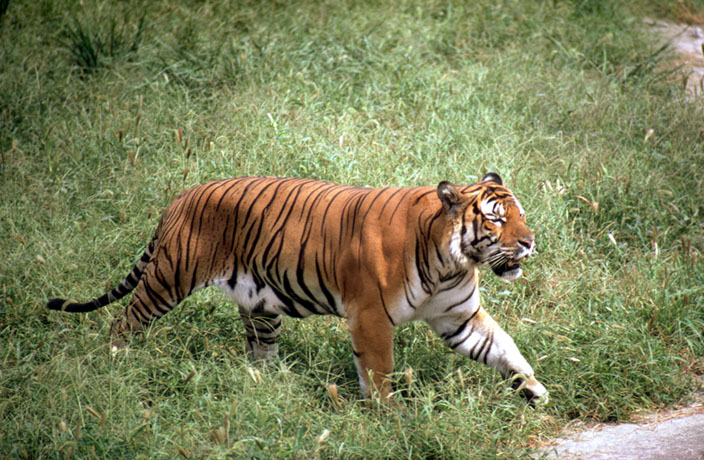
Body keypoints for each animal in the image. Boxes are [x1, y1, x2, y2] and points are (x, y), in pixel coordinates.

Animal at [46, 172, 548, 402]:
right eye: (496, 220)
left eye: (520, 214)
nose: (529, 241)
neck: (449, 262)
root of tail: (183, 195)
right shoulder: (371, 317)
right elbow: (379, 371)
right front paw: (390, 416)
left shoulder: (458, 317)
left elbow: (503, 346)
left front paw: (533, 387)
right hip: (169, 278)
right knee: (125, 320)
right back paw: (116, 363)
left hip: (261, 305)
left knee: (258, 352)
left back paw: (267, 389)